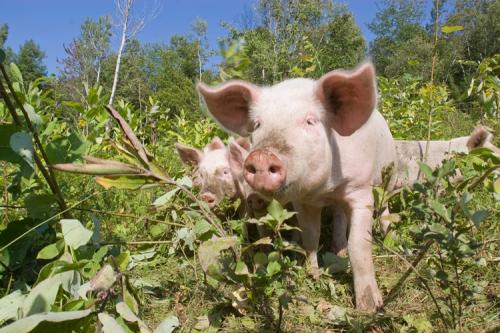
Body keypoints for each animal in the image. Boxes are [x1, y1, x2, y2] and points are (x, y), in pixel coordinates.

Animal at [197, 62, 396, 312]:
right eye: (258, 124)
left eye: (310, 121)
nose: (262, 156)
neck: (325, 189)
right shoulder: (304, 201)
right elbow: (311, 237)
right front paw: (313, 275)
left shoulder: (361, 191)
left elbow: (359, 245)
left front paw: (369, 307)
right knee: (339, 215)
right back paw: (337, 249)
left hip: (389, 174)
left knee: (386, 207)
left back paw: (388, 236)